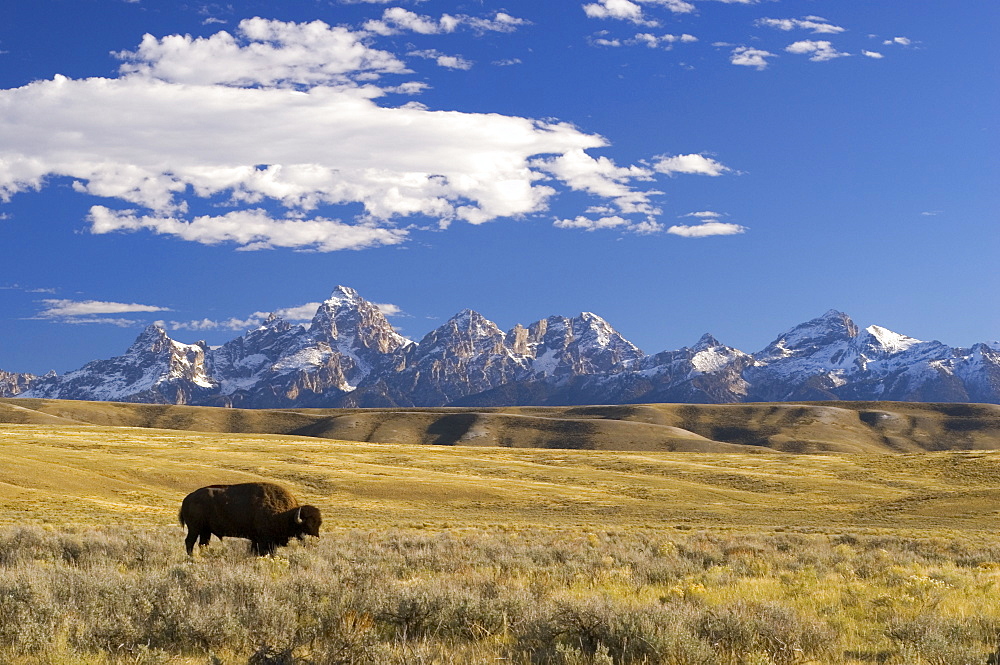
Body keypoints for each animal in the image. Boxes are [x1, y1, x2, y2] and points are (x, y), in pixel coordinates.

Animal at [178, 482, 322, 556]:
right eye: (307, 525)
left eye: (319, 524)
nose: (316, 540)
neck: (287, 514)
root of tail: (187, 499)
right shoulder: (264, 540)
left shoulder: (257, 540)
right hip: (195, 528)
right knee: (189, 542)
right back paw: (192, 559)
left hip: (205, 531)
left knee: (203, 544)